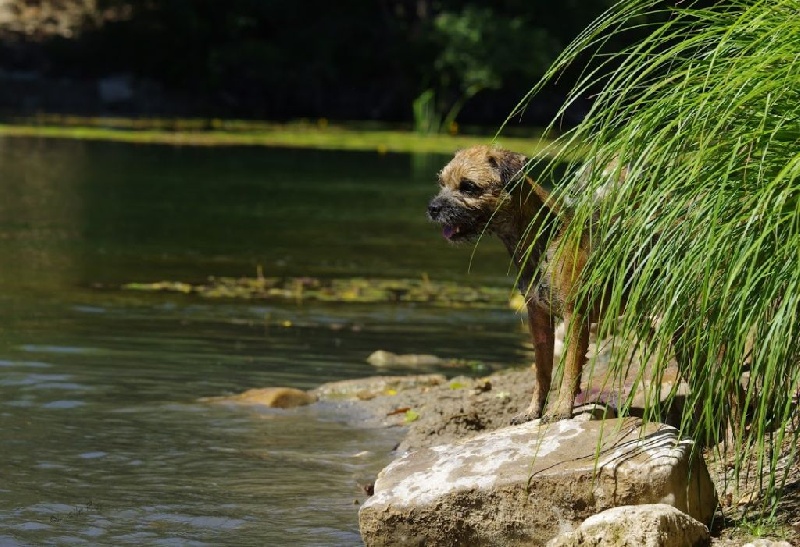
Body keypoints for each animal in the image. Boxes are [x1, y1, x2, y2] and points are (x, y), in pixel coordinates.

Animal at [428, 146, 604, 424]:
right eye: (442, 183)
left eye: (468, 187)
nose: (432, 208)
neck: (545, 236)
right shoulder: (538, 319)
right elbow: (542, 371)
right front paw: (533, 411)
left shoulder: (575, 317)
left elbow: (570, 368)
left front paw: (561, 409)